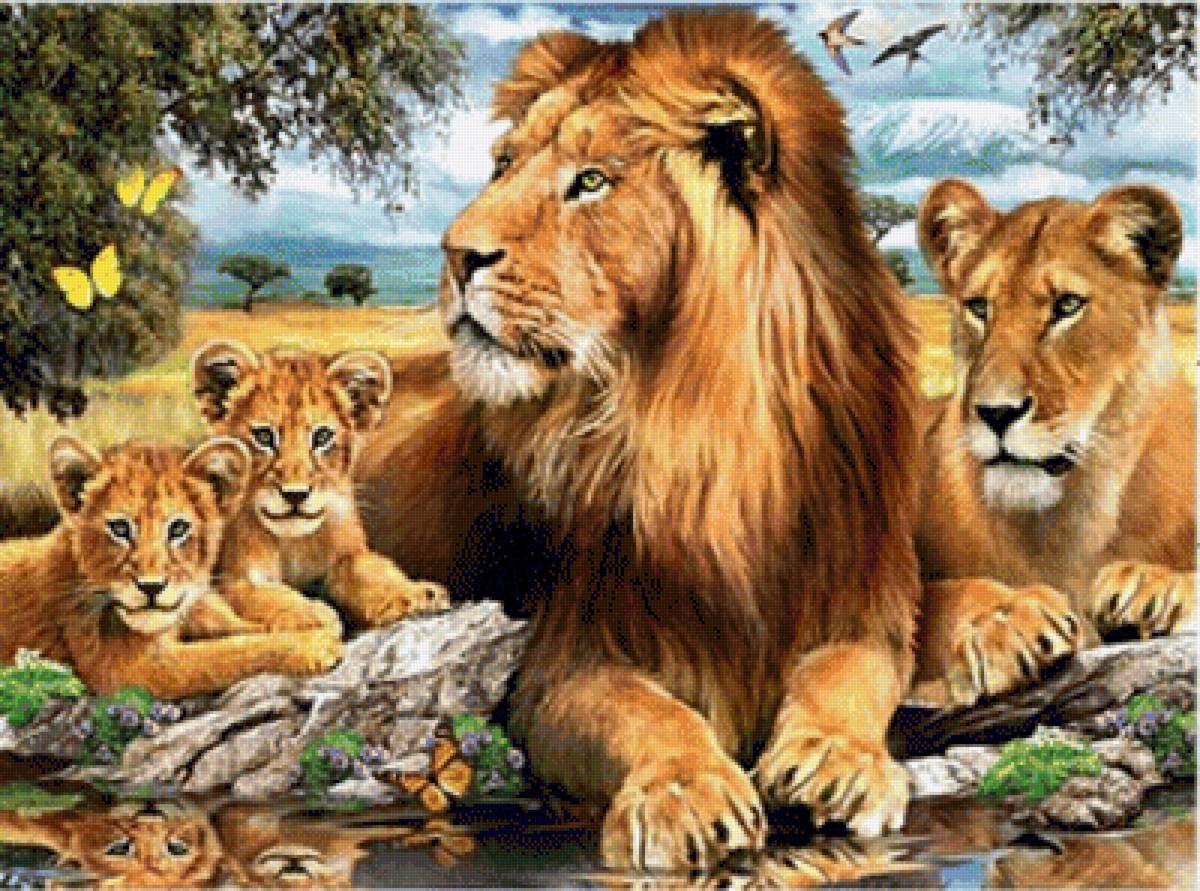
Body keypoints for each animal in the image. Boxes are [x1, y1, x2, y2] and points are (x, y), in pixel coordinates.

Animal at [0, 436, 340, 698]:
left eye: (178, 529)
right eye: (119, 528)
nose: (151, 587)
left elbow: (231, 618)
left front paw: (313, 614)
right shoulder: (128, 670)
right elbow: (228, 654)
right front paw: (314, 645)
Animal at [190, 339, 450, 634]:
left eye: (322, 436)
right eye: (264, 436)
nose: (295, 494)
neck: (293, 542)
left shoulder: (347, 554)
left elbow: (371, 569)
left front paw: (415, 594)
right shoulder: (235, 578)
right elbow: (269, 595)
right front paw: (313, 612)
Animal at [356, 11, 924, 869]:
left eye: (591, 181)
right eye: (503, 165)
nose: (456, 254)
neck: (703, 433)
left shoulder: (865, 597)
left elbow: (850, 671)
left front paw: (837, 759)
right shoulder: (556, 656)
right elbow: (641, 708)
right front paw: (687, 792)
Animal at [912, 179, 1195, 705]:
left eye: (1066, 306)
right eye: (979, 307)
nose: (996, 412)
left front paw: (1151, 587)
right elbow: (934, 596)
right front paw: (1005, 620)